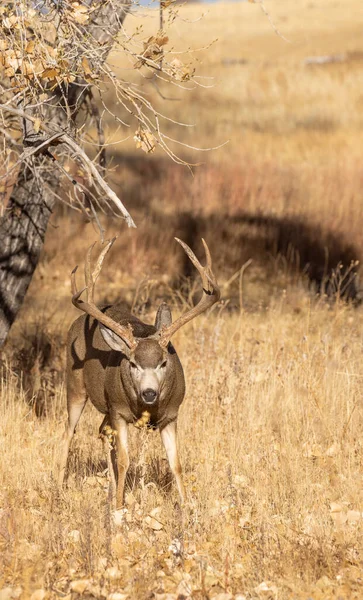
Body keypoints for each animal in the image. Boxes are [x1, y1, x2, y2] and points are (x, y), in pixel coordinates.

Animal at [58, 237, 220, 508]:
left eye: (164, 362)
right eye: (132, 363)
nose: (149, 393)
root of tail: (78, 321)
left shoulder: (172, 415)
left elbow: (176, 464)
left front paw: (186, 507)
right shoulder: (119, 411)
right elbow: (125, 460)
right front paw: (119, 507)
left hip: (107, 407)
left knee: (101, 432)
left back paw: (111, 487)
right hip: (76, 385)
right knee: (68, 433)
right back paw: (59, 488)